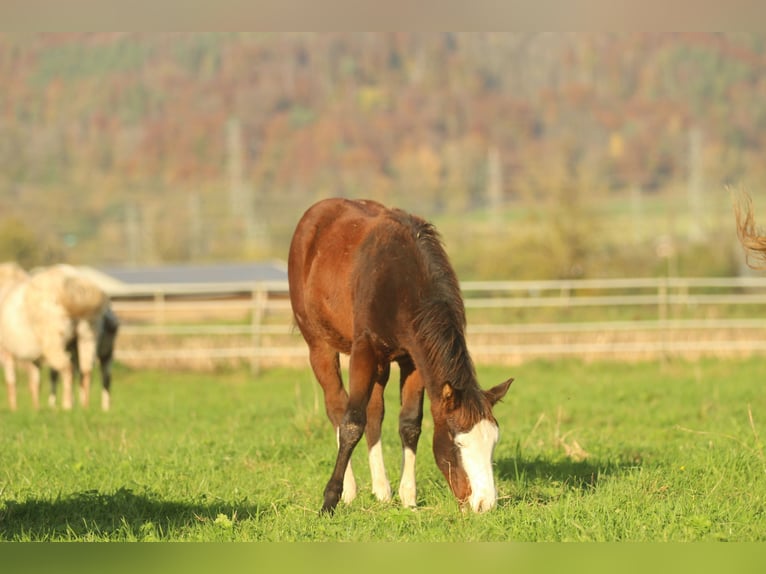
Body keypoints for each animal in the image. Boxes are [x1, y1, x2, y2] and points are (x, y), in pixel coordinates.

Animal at [0, 264, 109, 412]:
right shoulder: (33, 358)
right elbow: (35, 382)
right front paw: (36, 409)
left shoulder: (7, 353)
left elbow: (11, 382)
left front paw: (14, 410)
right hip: (87, 338)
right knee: (86, 372)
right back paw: (85, 407)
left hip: (54, 344)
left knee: (68, 369)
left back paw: (67, 405)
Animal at [288, 200, 516, 516]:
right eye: (459, 444)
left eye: (493, 442)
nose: (485, 504)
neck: (404, 281)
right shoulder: (363, 350)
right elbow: (351, 422)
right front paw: (329, 499)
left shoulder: (414, 358)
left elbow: (409, 424)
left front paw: (408, 497)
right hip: (320, 345)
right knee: (336, 405)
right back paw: (349, 490)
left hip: (382, 362)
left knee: (375, 412)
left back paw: (382, 490)